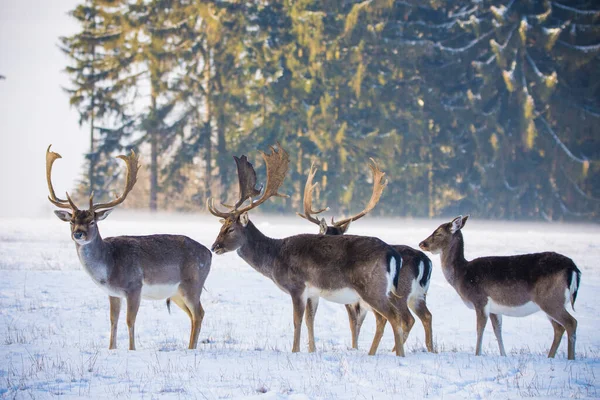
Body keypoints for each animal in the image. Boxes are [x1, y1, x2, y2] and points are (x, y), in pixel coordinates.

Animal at [46, 145, 211, 348]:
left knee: (199, 313)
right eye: (72, 221)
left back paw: (191, 349)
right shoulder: (113, 293)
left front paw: (132, 349)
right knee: (192, 315)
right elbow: (113, 320)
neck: (109, 268)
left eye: (92, 221)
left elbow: (130, 320)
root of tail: (209, 252)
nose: (78, 233)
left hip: (192, 283)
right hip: (176, 292)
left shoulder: (134, 286)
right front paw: (112, 348)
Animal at [206, 145, 408, 356]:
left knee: (394, 316)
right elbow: (310, 321)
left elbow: (297, 321)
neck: (275, 258)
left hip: (371, 288)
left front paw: (295, 350)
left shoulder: (297, 286)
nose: (214, 246)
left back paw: (398, 355)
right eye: (222, 226)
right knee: (388, 318)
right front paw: (312, 349)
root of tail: (393, 254)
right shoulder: (313, 292)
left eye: (230, 229)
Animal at [298, 161, 432, 352]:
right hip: (419, 295)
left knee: (405, 319)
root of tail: (425, 261)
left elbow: (349, 324)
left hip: (398, 292)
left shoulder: (350, 299)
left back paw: (392, 350)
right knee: (426, 316)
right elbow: (357, 325)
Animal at [418, 216, 580, 360]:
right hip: (551, 302)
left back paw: (571, 359)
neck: (462, 275)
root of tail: (573, 269)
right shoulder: (495, 309)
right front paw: (503, 355)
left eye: (438, 233)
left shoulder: (480, 300)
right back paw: (550, 357)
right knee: (559, 328)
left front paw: (477, 354)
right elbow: (498, 331)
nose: (421, 243)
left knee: (571, 323)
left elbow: (480, 329)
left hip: (550, 300)